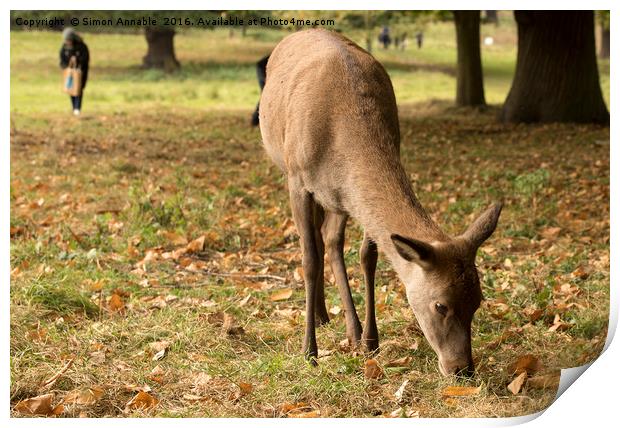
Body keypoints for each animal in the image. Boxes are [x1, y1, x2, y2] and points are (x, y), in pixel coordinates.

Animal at [260, 29, 502, 374]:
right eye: (440, 305)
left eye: (478, 300)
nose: (462, 368)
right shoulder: (297, 180)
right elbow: (308, 260)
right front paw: (309, 352)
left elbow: (367, 256)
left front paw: (370, 341)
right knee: (318, 243)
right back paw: (322, 319)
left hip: (337, 201)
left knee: (331, 240)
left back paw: (345, 325)